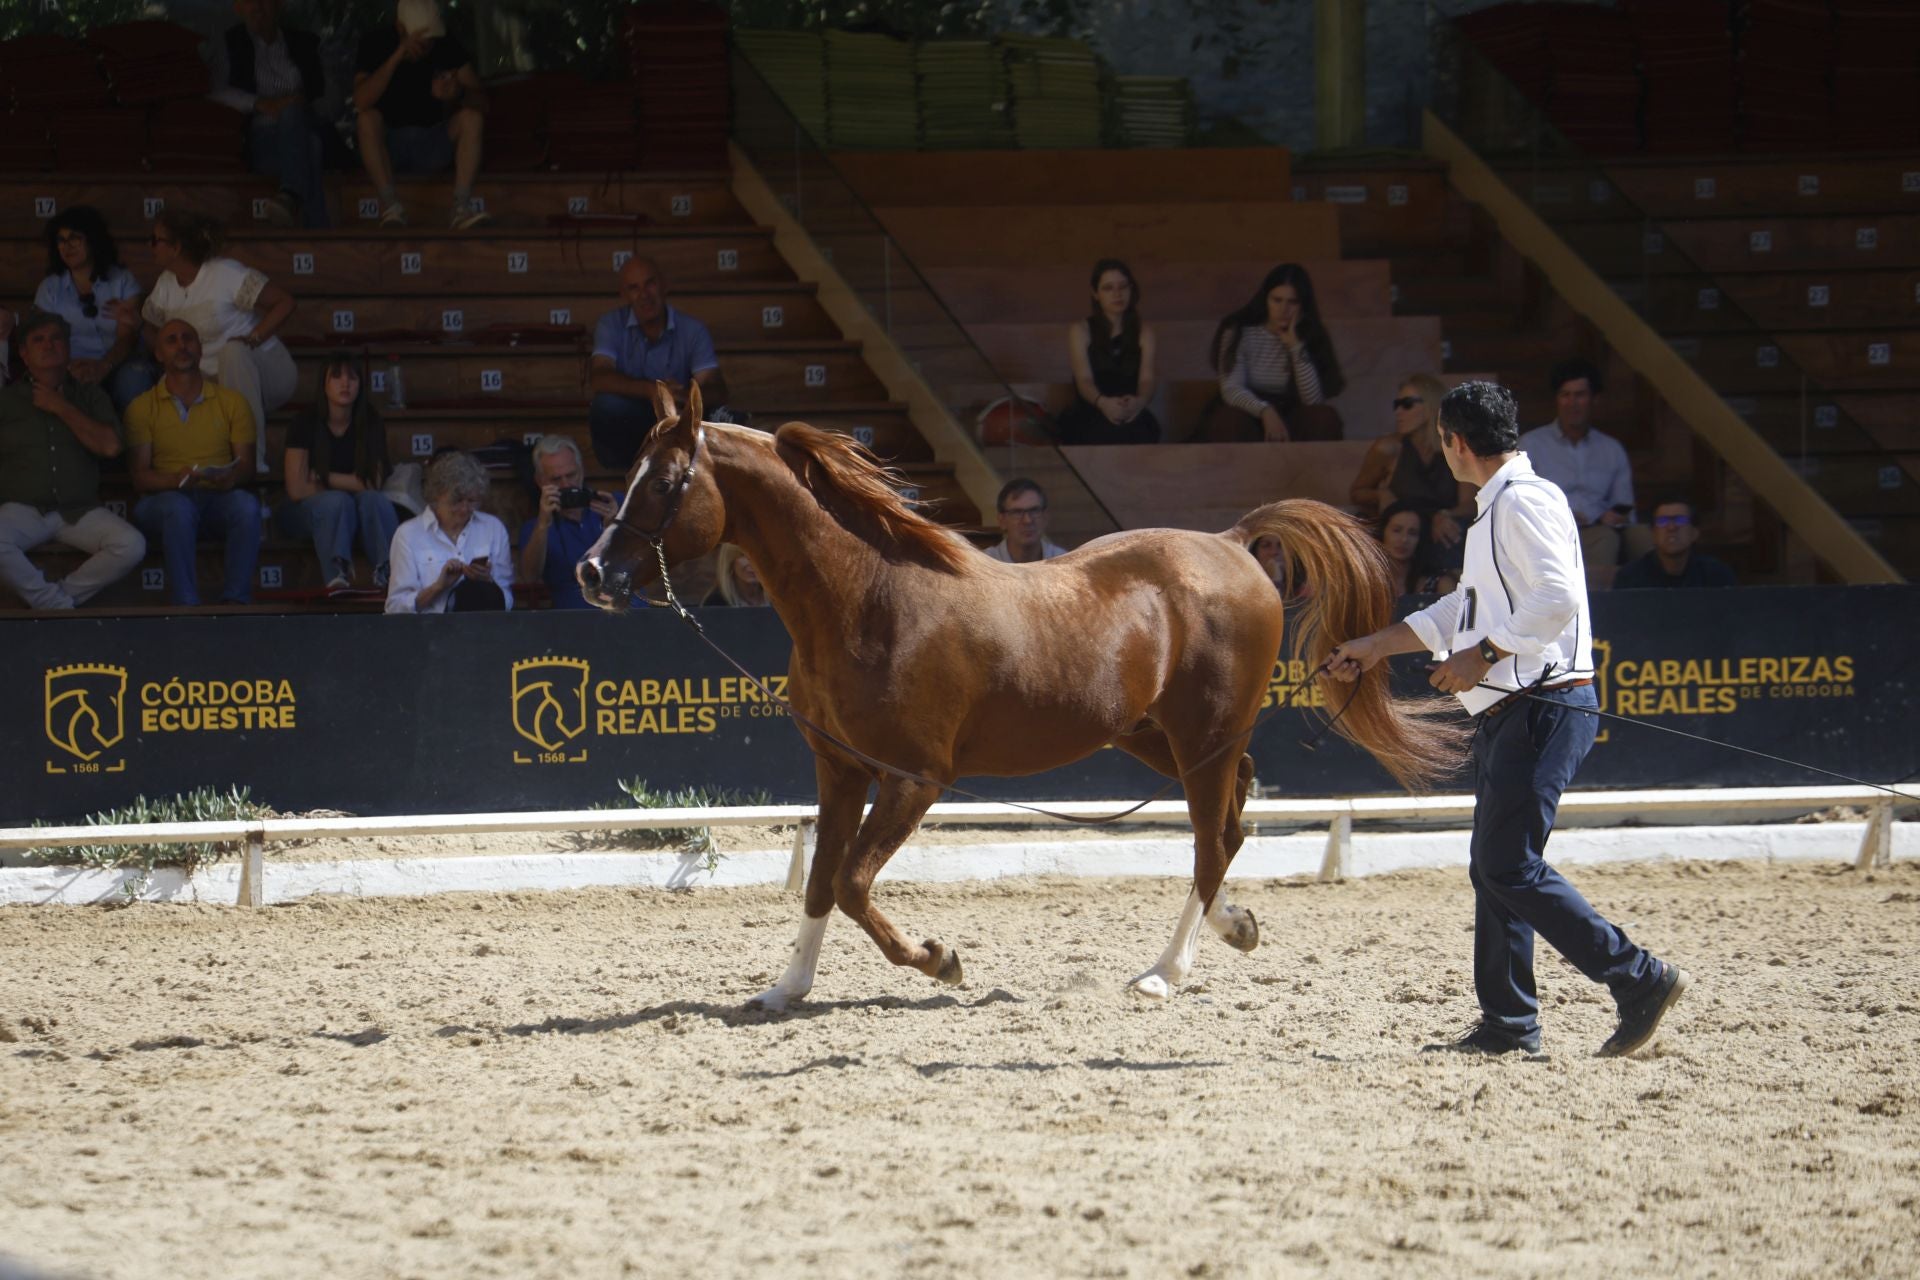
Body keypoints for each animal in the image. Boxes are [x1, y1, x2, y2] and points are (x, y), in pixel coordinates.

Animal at [579, 383, 1462, 1011]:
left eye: (665, 481)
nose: (592, 573)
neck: (868, 599)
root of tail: (1233, 542)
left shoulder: (914, 779)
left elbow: (856, 883)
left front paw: (941, 961)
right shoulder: (840, 769)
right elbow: (825, 878)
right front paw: (786, 987)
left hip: (1200, 739)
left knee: (1212, 843)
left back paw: (1164, 972)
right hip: (1156, 737)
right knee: (1235, 818)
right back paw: (1232, 930)